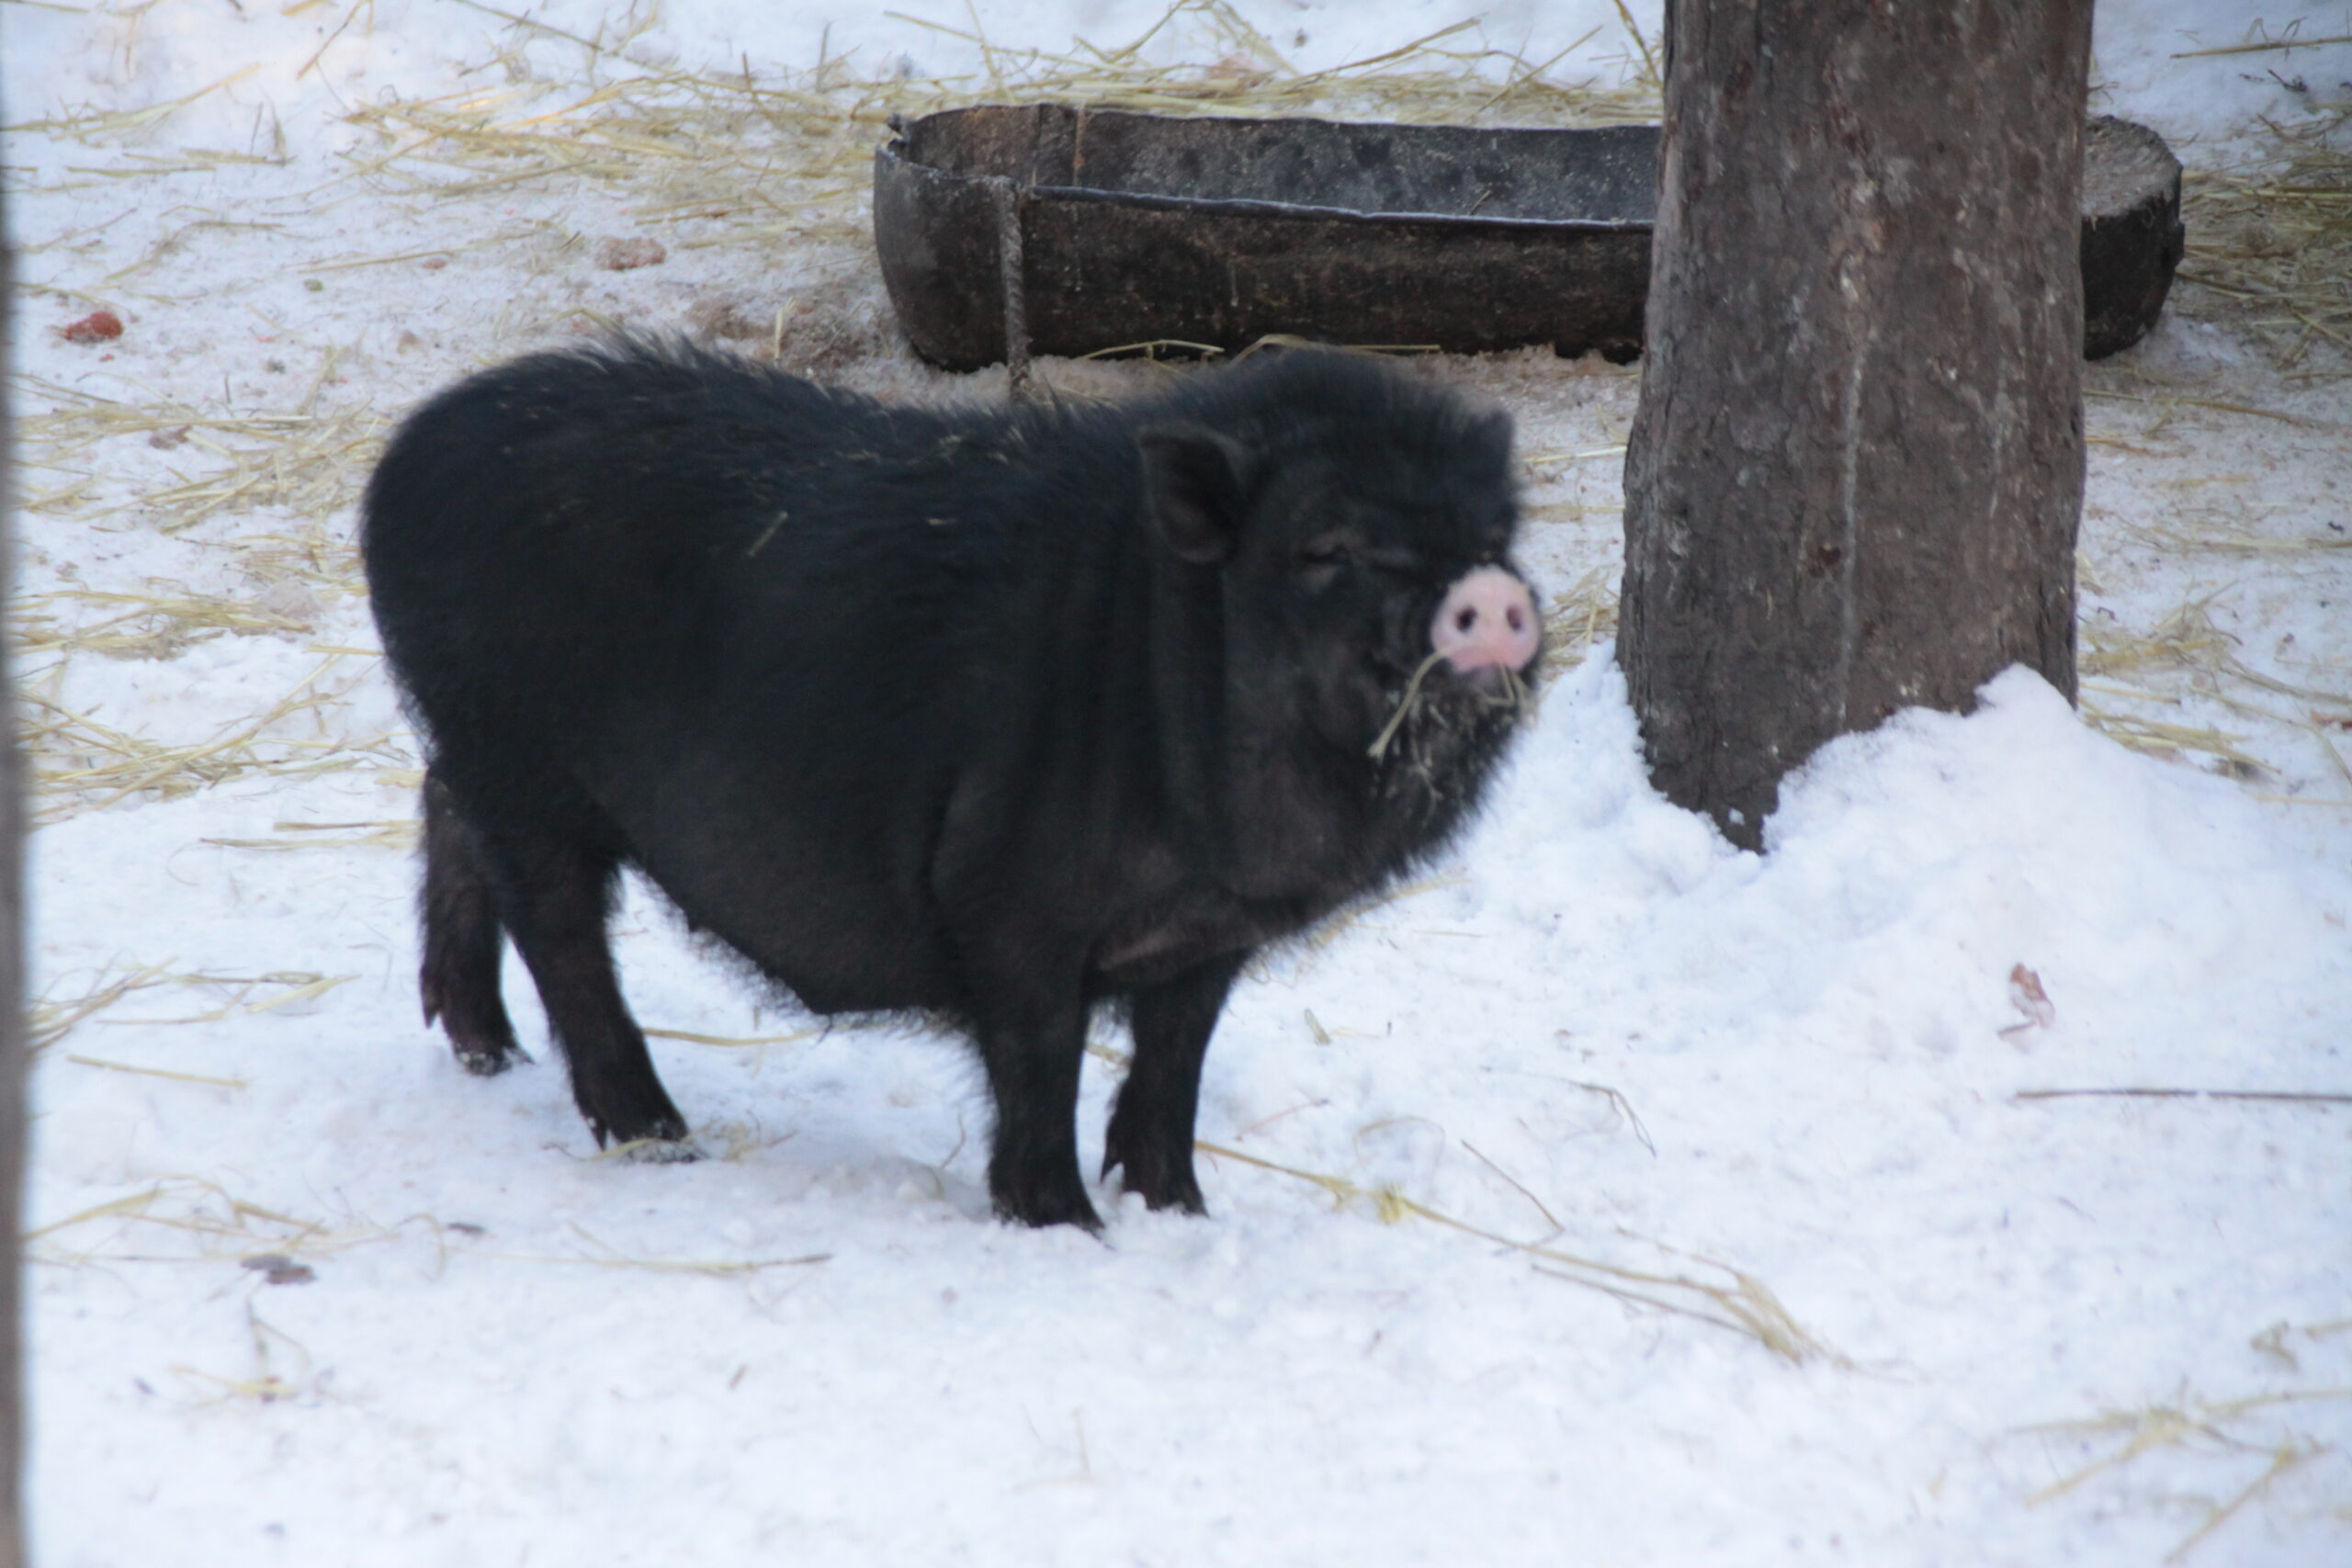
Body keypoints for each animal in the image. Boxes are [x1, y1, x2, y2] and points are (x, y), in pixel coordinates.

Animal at [362, 341, 1543, 1222]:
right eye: (1327, 546)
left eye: (1493, 532)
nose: (1488, 594)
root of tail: (401, 457)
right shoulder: (1007, 898)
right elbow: (1040, 1060)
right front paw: (1062, 1223)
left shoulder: (1209, 936)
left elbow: (1175, 1062)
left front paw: (1178, 1211)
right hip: (519, 759)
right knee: (560, 930)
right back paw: (659, 1139)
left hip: (483, 752)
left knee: (443, 812)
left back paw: (485, 1052)